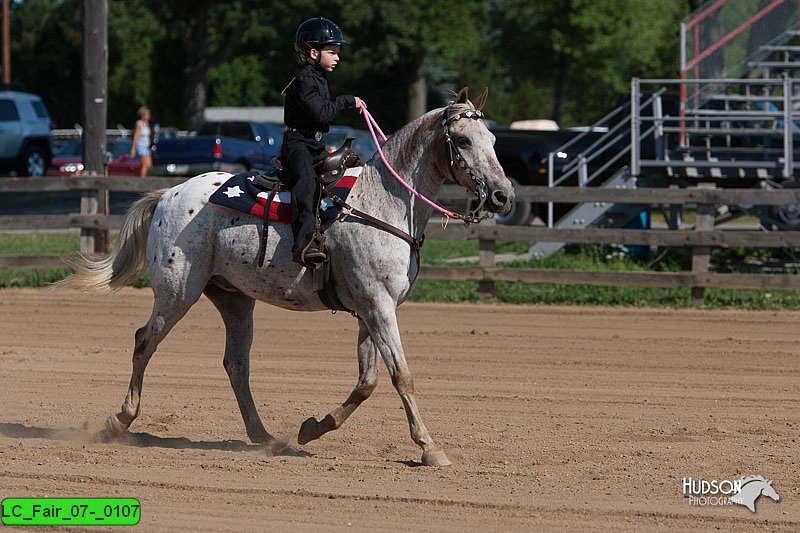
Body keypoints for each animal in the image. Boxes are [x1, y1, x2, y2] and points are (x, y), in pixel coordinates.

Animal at [57, 87, 520, 466]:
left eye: (494, 141)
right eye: (464, 140)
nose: (503, 196)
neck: (382, 203)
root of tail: (169, 194)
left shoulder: (371, 309)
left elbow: (367, 381)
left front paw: (313, 428)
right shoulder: (378, 305)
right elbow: (401, 375)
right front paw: (429, 447)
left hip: (234, 298)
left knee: (236, 363)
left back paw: (264, 436)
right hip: (177, 293)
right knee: (144, 341)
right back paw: (118, 421)